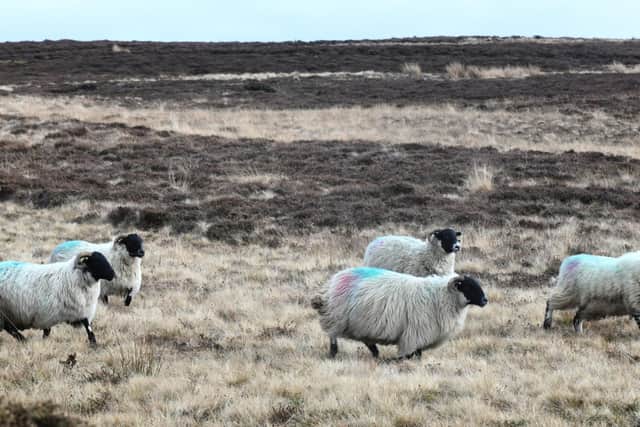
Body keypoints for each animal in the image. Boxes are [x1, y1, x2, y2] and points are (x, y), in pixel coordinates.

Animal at [311, 267, 487, 359]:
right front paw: (405, 361)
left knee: (366, 341)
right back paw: (333, 353)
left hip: (357, 324)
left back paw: (376, 354)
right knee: (333, 337)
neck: (440, 296)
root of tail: (328, 288)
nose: (485, 300)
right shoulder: (415, 333)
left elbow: (418, 353)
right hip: (337, 318)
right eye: (469, 287)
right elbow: (411, 353)